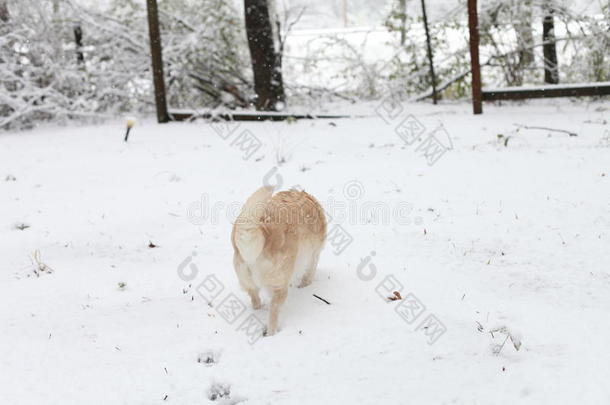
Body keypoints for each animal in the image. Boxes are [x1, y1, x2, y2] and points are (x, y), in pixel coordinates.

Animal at [232, 186, 326, 334]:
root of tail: (263, 231)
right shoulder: (314, 255)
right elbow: (309, 274)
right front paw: (305, 286)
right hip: (279, 286)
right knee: (273, 312)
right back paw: (272, 332)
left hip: (246, 279)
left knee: (254, 297)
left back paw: (259, 308)